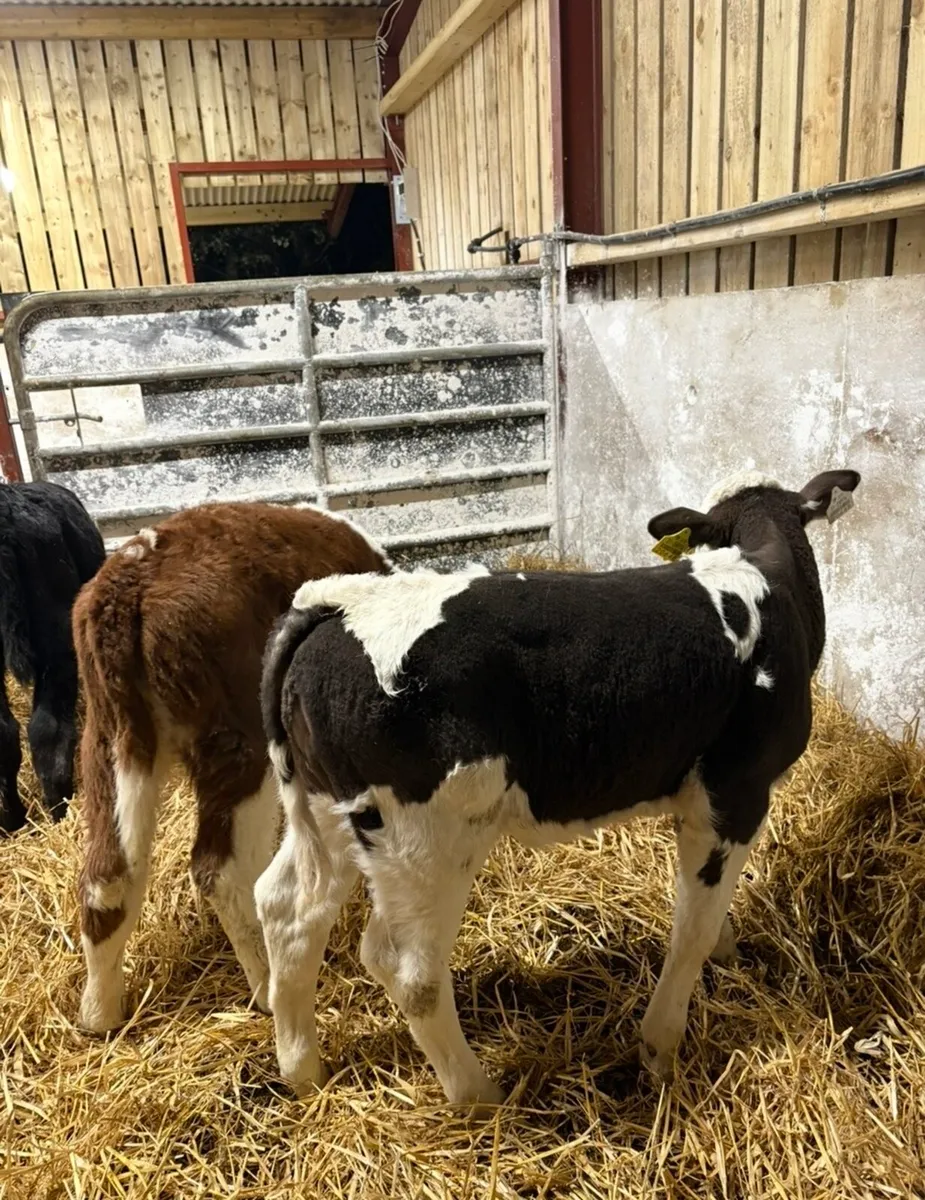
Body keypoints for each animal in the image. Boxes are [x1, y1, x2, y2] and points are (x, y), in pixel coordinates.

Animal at [73, 502, 390, 1035]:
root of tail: (135, 574)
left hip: (110, 735)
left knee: (108, 875)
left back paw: (100, 1013)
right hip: (238, 737)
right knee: (219, 869)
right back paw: (267, 986)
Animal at [255, 468, 860, 1108]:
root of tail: (337, 604)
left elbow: (702, 910)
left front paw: (723, 949)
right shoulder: (736, 792)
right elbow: (690, 930)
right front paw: (660, 1047)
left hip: (329, 812)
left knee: (287, 908)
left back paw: (303, 1071)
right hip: (426, 841)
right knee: (408, 971)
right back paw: (479, 1095)